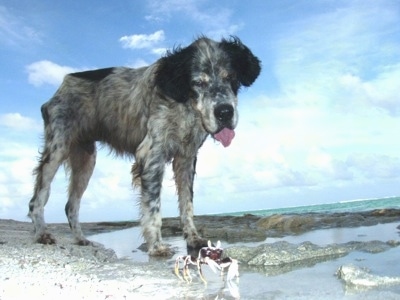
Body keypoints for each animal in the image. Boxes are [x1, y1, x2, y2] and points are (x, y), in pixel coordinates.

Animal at [28, 35, 260, 255]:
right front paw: (156, 246)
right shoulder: (151, 155)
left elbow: (187, 204)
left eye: (231, 78)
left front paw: (193, 238)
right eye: (198, 83)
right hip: (57, 150)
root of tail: (61, 86)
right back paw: (42, 234)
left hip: (86, 161)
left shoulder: (186, 158)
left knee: (71, 205)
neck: (183, 104)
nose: (225, 112)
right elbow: (153, 208)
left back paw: (80, 239)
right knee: (37, 199)